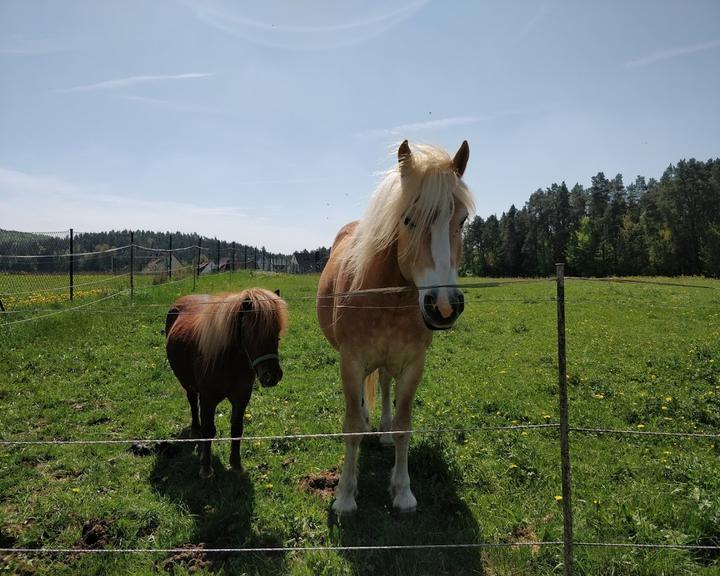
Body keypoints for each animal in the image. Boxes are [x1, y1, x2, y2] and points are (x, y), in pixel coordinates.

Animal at [165, 286, 286, 476]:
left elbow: (237, 428)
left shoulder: (241, 398)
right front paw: (206, 468)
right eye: (253, 333)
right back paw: (195, 429)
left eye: (277, 333)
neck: (230, 362)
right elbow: (208, 430)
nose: (271, 376)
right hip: (187, 383)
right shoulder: (208, 399)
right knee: (192, 402)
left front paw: (236, 464)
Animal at [318, 140, 476, 512]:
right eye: (408, 220)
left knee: (385, 385)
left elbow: (405, 424)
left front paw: (403, 492)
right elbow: (351, 426)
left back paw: (385, 432)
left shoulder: (413, 364)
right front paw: (345, 496)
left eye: (462, 220)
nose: (443, 306)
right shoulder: (350, 361)